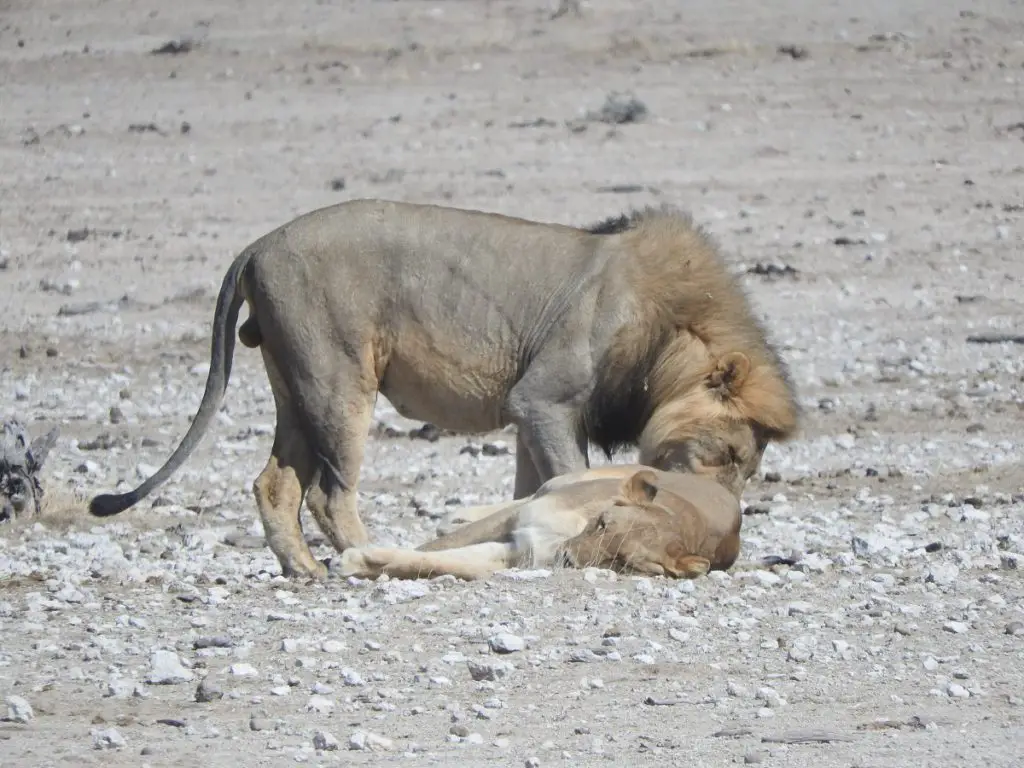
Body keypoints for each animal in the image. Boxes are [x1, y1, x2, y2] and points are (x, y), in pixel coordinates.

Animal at [335, 462, 745, 581]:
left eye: (621, 562)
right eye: (602, 523)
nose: (567, 560)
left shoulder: (519, 554)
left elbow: (441, 561)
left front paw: (364, 562)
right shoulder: (520, 521)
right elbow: (440, 546)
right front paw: (349, 558)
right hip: (573, 479)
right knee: (528, 492)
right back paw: (451, 515)